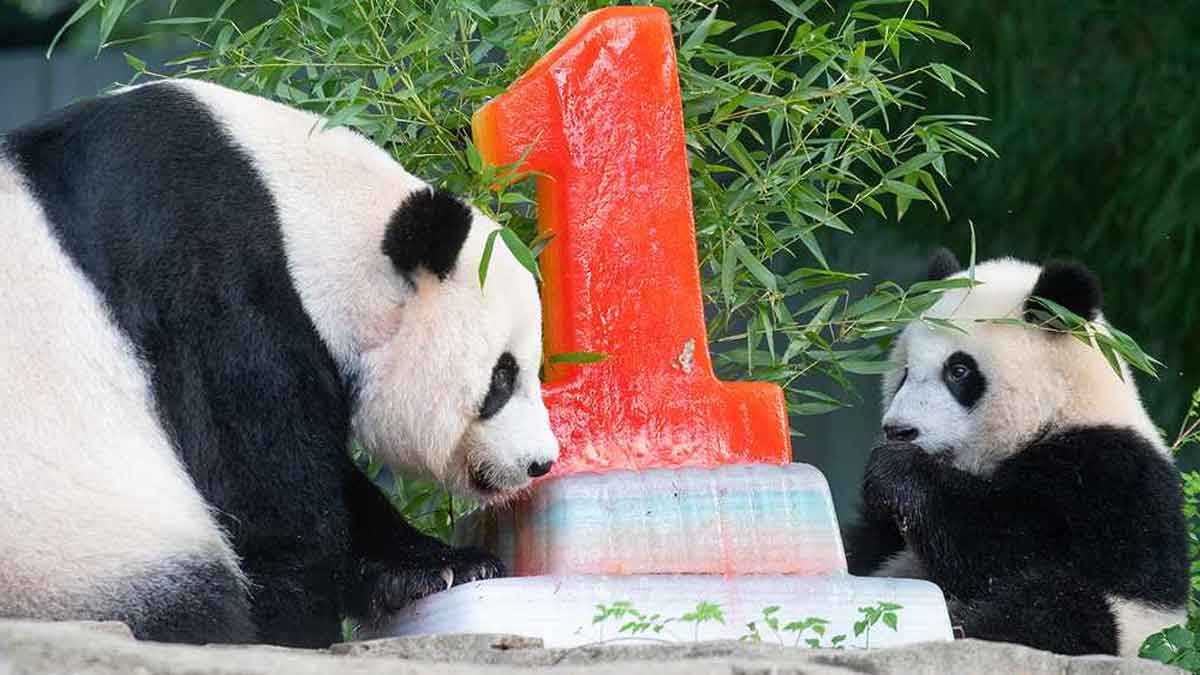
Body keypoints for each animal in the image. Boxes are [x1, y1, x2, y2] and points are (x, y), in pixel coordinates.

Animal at [0, 79, 558, 647]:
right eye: (502, 376)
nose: (540, 462)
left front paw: (443, 567)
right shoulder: (207, 288)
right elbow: (264, 489)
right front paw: (301, 623)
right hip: (69, 546)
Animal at [844, 248, 1189, 657]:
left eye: (958, 371)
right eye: (905, 372)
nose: (899, 430)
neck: (1061, 407)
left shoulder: (1108, 475)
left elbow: (1001, 546)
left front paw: (895, 468)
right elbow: (863, 546)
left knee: (1058, 607)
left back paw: (960, 623)